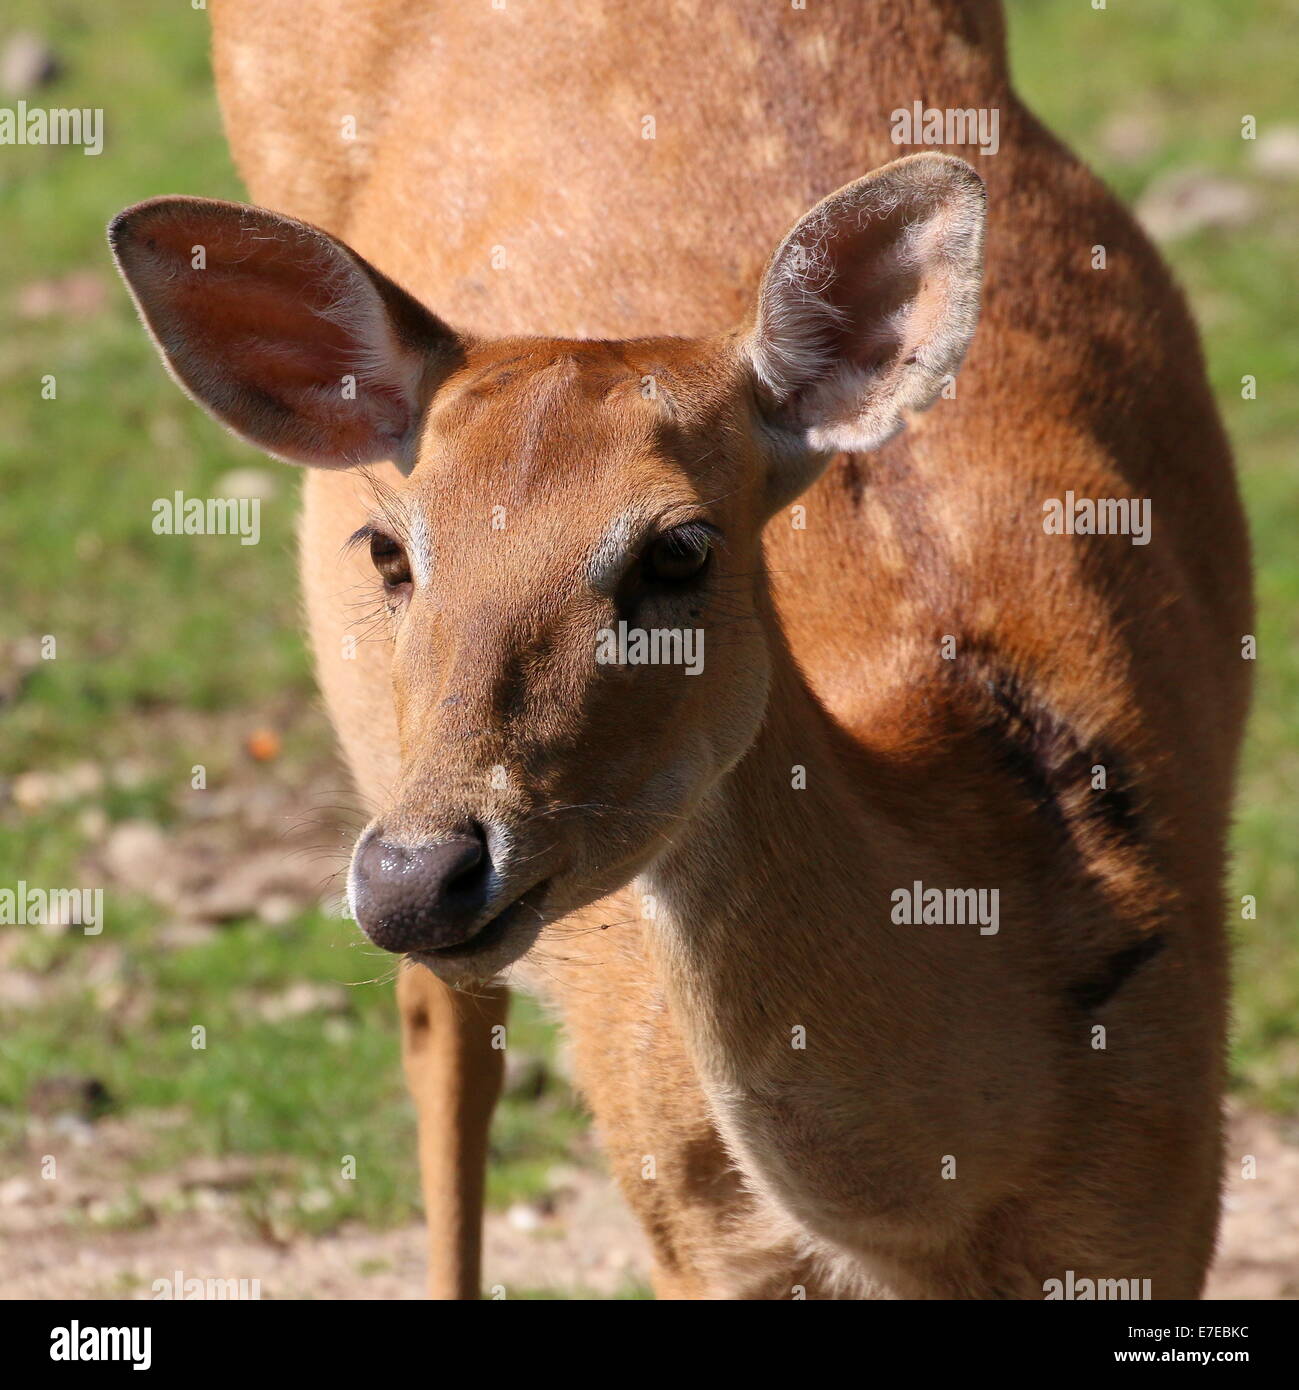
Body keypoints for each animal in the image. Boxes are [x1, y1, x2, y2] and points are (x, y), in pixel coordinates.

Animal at [109, 0, 1251, 1298]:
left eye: (679, 548)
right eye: (388, 548)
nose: (414, 875)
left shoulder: (1161, 1203)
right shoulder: (692, 1226)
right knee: (440, 1028)